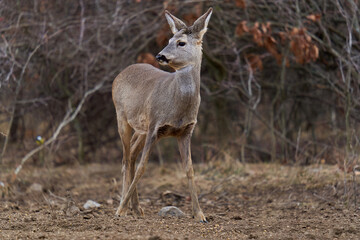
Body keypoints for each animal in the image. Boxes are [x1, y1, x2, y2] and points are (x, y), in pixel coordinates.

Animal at [112, 7, 212, 222]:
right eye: (168, 39)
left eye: (181, 42)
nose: (160, 56)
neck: (178, 107)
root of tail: (121, 73)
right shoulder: (155, 126)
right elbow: (143, 167)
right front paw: (120, 209)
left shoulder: (186, 131)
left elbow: (189, 169)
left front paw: (200, 214)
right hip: (122, 117)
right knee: (126, 159)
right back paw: (124, 207)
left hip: (141, 128)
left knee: (131, 156)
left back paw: (137, 208)